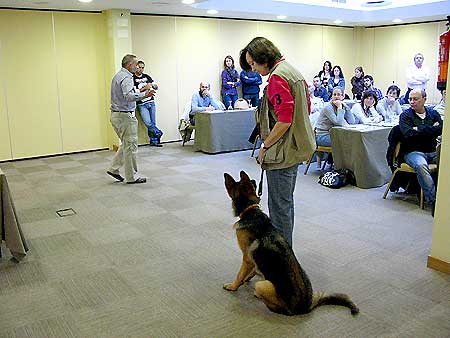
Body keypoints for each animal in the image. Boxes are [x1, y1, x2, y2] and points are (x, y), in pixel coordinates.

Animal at [223, 172, 360, 316]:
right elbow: (252, 270)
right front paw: (248, 277)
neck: (251, 212)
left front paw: (233, 286)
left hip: (262, 286)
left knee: (274, 307)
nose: (255, 180)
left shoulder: (247, 258)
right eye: (252, 183)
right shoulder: (252, 260)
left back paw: (259, 296)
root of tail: (307, 307)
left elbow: (240, 274)